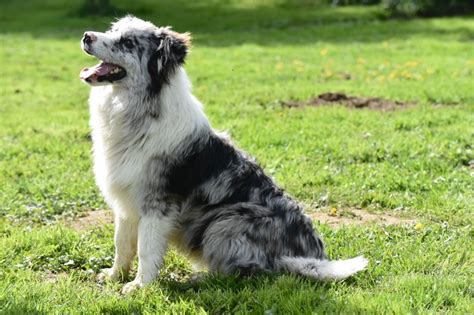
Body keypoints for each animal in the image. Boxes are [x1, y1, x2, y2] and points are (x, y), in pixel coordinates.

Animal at [79, 16, 368, 294]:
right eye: (112, 29)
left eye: (127, 42)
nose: (86, 36)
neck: (136, 110)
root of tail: (312, 258)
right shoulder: (126, 203)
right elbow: (122, 245)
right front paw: (114, 276)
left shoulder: (157, 204)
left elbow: (146, 249)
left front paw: (140, 286)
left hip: (226, 221)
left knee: (246, 273)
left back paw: (198, 279)